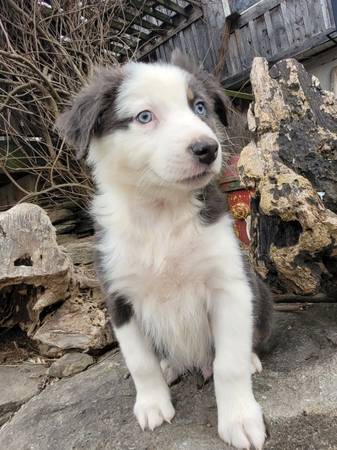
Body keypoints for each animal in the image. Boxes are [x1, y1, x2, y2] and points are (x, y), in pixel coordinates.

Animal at [57, 51, 272, 450]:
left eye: (199, 107)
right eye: (145, 116)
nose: (208, 149)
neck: (160, 211)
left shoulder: (229, 286)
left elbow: (228, 364)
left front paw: (239, 419)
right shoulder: (118, 297)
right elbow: (139, 362)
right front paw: (152, 405)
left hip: (260, 295)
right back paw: (170, 366)